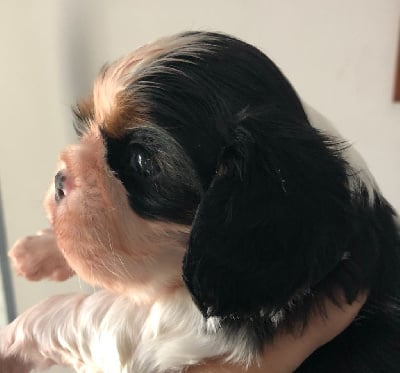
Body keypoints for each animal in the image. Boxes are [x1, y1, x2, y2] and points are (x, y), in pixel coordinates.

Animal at [0, 32, 400, 372]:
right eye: (86, 127)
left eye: (141, 161)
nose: (59, 179)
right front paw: (37, 249)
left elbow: (88, 310)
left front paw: (11, 337)